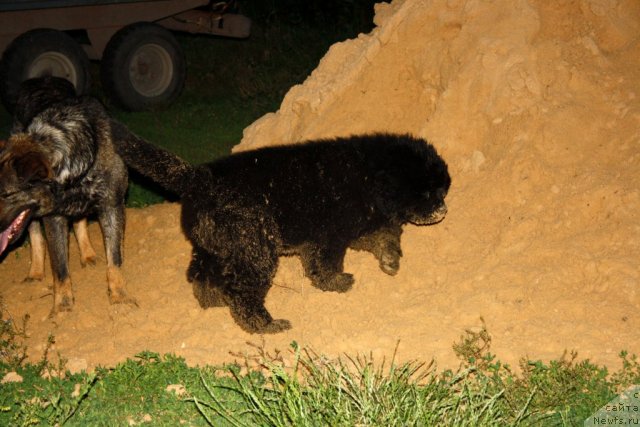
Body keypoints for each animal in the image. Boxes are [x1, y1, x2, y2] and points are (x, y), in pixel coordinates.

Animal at [0, 83, 136, 316]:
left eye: (7, 194)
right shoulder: (53, 217)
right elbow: (60, 267)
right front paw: (63, 308)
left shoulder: (112, 206)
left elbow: (115, 260)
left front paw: (119, 298)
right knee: (35, 235)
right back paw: (36, 271)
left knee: (79, 222)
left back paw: (88, 255)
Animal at [111, 130, 450, 334]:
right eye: (429, 193)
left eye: (442, 191)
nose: (444, 210)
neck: (368, 173)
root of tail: (196, 178)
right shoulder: (329, 237)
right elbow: (325, 266)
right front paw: (338, 283)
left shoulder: (358, 224)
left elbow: (383, 235)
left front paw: (390, 259)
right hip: (255, 249)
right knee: (242, 292)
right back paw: (265, 325)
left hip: (216, 245)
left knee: (200, 274)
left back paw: (212, 300)